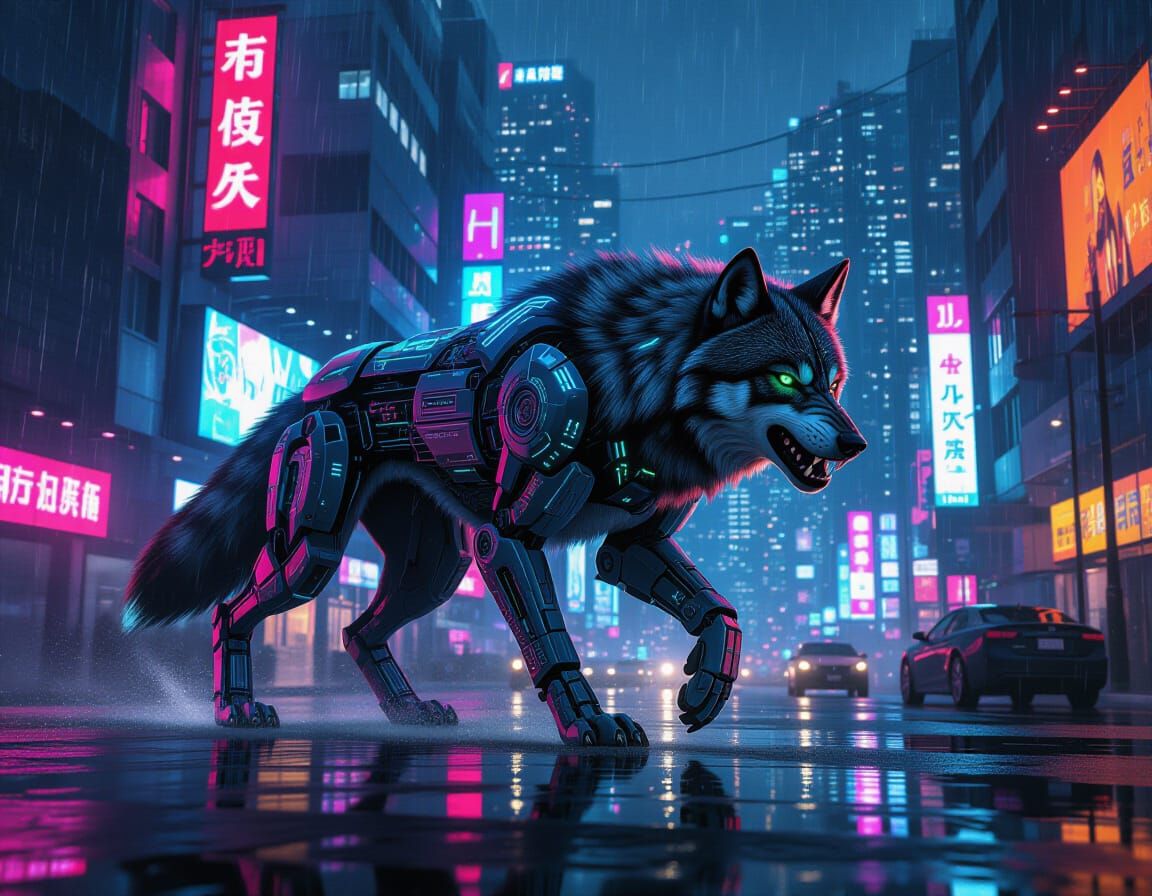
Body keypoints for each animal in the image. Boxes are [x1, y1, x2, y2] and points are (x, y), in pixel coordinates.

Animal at [124, 248, 865, 746]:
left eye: (833, 381)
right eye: (786, 378)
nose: (856, 445)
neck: (630, 372)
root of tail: (311, 388)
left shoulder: (632, 545)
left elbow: (719, 611)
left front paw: (710, 682)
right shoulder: (509, 536)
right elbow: (552, 642)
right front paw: (588, 721)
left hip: (434, 573)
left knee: (359, 630)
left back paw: (408, 711)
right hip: (315, 550)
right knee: (235, 607)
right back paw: (236, 709)